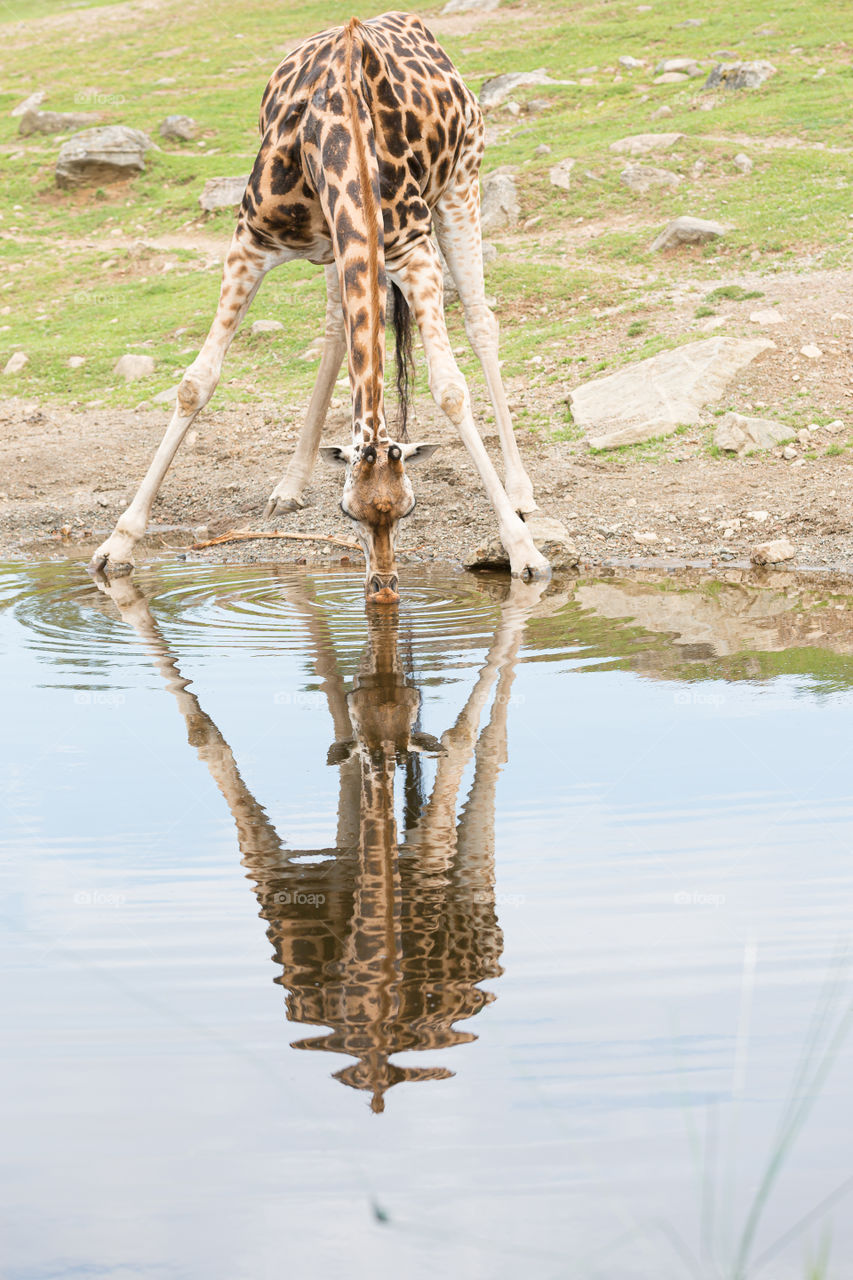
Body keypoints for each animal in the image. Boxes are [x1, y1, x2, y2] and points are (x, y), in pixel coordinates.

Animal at [89, 11, 551, 603]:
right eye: (346, 512)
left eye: (408, 509)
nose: (384, 586)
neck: (338, 138)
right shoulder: (251, 241)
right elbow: (197, 382)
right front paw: (116, 545)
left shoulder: (412, 249)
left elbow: (450, 390)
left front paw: (523, 551)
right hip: (342, 245)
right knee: (337, 330)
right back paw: (287, 487)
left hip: (460, 183)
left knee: (480, 320)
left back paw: (520, 491)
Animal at [93, 568, 545, 1110]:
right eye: (367, 705)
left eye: (412, 700)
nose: (384, 593)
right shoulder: (273, 871)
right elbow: (212, 739)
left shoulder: (431, 846)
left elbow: (459, 743)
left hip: (471, 873)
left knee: (488, 745)